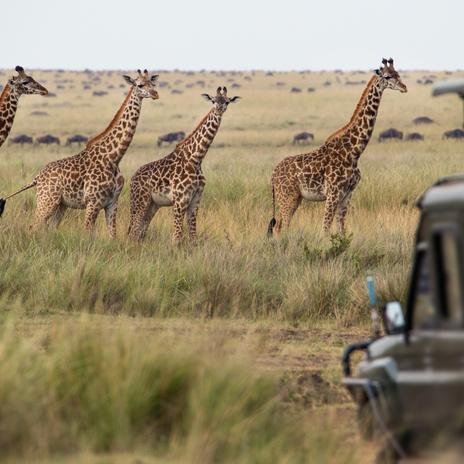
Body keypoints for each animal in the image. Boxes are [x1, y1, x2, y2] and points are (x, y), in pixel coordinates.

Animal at [0, 68, 160, 236]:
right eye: (140, 84)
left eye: (153, 83)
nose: (155, 94)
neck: (114, 157)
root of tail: (37, 177)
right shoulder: (93, 202)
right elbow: (88, 232)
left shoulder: (112, 203)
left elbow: (112, 235)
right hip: (46, 200)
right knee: (34, 226)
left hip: (60, 204)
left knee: (50, 227)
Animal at [129, 88, 241, 246]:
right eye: (213, 100)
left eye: (227, 101)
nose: (219, 109)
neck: (196, 158)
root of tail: (132, 179)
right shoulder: (180, 200)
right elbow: (176, 238)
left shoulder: (195, 200)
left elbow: (193, 237)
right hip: (140, 201)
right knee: (133, 232)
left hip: (152, 204)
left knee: (140, 231)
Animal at [268, 58, 406, 237]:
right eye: (388, 76)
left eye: (398, 73)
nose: (404, 87)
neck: (354, 152)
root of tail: (273, 175)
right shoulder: (333, 193)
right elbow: (325, 230)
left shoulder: (347, 194)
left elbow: (341, 229)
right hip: (287, 196)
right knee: (281, 227)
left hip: (295, 197)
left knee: (281, 226)